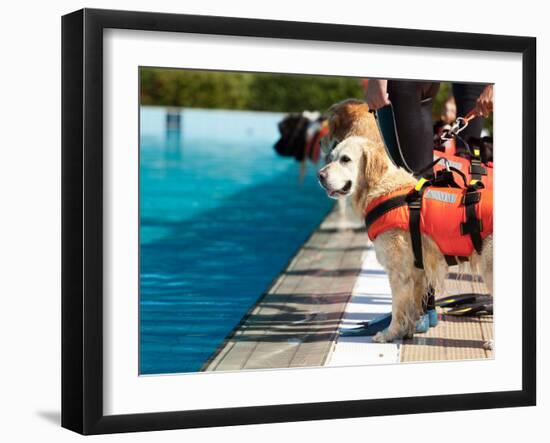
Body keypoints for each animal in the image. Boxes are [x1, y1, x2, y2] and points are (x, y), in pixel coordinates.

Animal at [316, 137, 494, 346]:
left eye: (345, 159)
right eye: (332, 157)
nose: (320, 175)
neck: (380, 186)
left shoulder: (398, 273)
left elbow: (397, 308)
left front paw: (389, 334)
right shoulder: (417, 272)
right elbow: (412, 306)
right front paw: (408, 331)